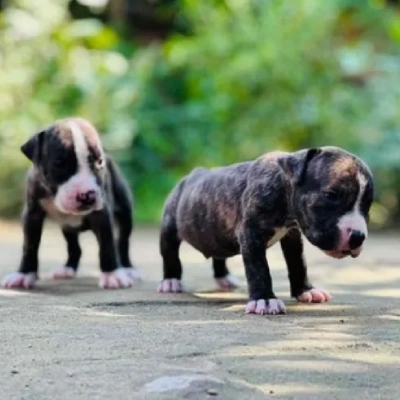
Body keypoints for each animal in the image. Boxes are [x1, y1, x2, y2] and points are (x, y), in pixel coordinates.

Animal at [1, 117, 141, 290]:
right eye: (60, 163)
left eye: (99, 162)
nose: (87, 195)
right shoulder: (32, 215)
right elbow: (29, 246)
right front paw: (24, 274)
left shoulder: (102, 214)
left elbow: (107, 244)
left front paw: (112, 275)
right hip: (67, 227)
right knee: (74, 247)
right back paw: (67, 269)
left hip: (124, 212)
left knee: (123, 241)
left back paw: (128, 269)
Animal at [159, 147, 376, 316]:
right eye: (331, 195)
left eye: (367, 204)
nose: (358, 236)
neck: (282, 184)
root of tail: (189, 176)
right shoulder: (251, 234)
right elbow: (259, 269)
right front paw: (264, 299)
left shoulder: (293, 235)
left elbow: (298, 263)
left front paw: (306, 290)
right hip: (170, 225)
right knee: (170, 254)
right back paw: (170, 281)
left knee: (218, 254)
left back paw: (224, 278)